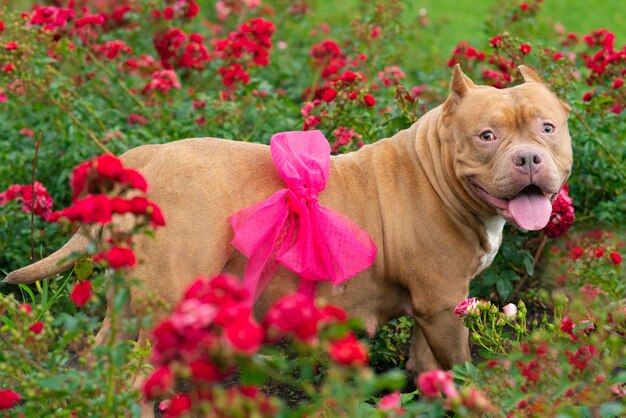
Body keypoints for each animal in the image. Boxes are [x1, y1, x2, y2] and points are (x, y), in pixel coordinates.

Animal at [3, 65, 572, 378]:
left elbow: (426, 365)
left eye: (547, 128)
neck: (434, 169)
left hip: (128, 300)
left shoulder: (433, 306)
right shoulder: (441, 305)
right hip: (165, 302)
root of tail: (136, 163)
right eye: (487, 136)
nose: (528, 159)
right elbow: (460, 364)